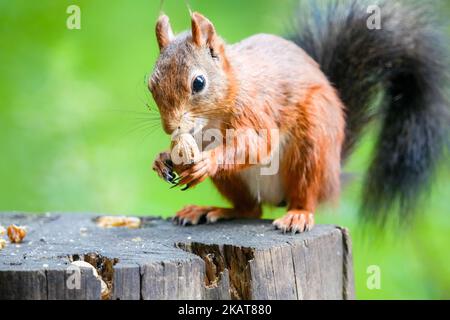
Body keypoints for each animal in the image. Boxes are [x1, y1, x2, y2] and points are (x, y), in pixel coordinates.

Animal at [149, 0, 448, 232]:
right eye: (151, 85)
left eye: (198, 83)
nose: (170, 127)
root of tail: (332, 177)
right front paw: (163, 159)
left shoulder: (256, 108)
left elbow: (257, 144)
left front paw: (206, 161)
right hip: (234, 180)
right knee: (250, 209)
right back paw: (210, 210)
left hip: (311, 146)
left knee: (303, 197)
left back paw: (298, 216)